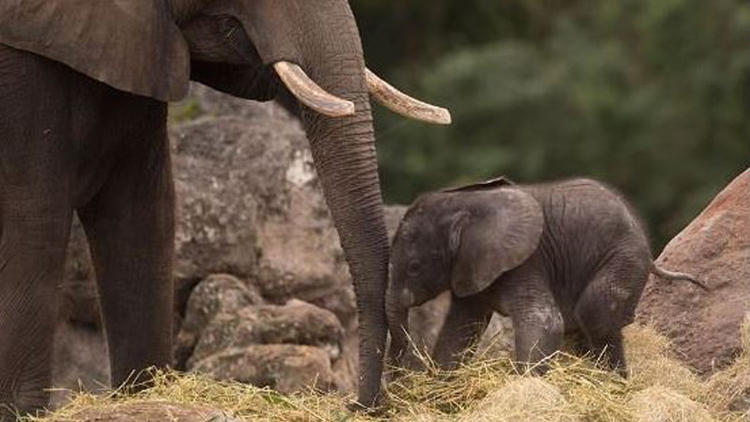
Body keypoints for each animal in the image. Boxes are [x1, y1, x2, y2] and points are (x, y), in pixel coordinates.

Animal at [388, 176, 704, 374]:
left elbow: (545, 321)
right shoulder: (470, 268)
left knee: (595, 314)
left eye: (414, 267)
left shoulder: (527, 261)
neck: (466, 204)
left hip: (624, 258)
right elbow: (458, 331)